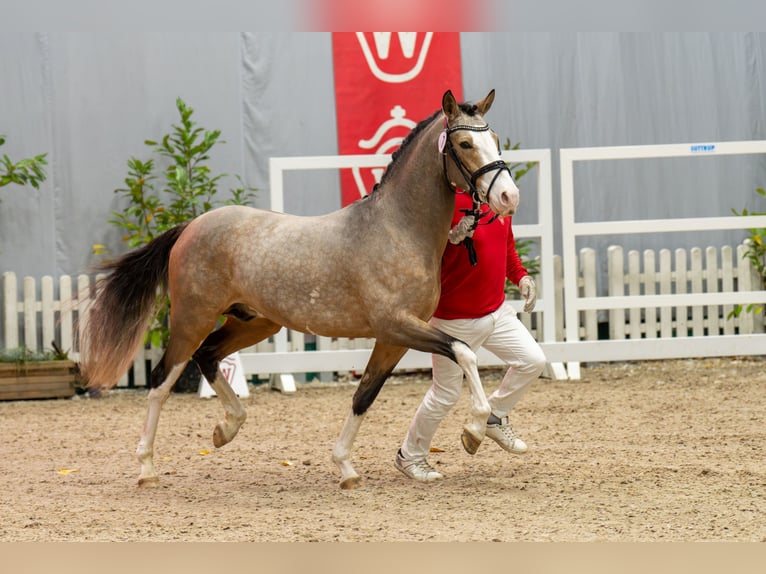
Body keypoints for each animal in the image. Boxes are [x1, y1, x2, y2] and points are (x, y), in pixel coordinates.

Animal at [79, 90, 520, 490]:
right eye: (465, 144)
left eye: (496, 138)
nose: (508, 196)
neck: (397, 229)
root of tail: (192, 225)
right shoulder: (397, 326)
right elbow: (464, 352)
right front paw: (474, 431)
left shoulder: (393, 338)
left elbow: (364, 395)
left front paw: (346, 469)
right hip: (193, 318)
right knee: (161, 380)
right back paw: (147, 468)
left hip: (255, 322)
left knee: (208, 356)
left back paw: (226, 429)